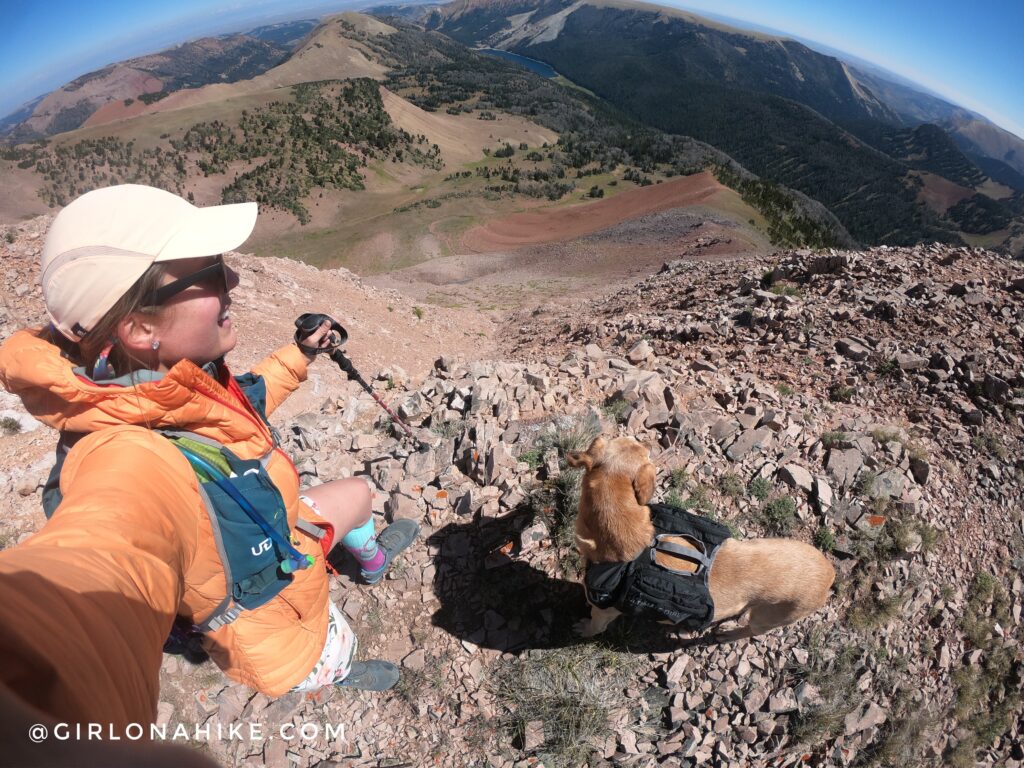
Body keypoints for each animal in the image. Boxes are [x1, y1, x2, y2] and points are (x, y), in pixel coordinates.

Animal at [565, 438, 835, 643]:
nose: (652, 442)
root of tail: (830, 573)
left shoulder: (603, 610)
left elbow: (593, 626)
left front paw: (582, 629)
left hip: (769, 618)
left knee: (750, 630)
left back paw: (729, 635)